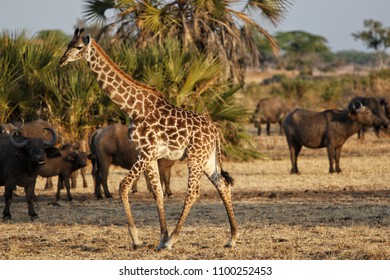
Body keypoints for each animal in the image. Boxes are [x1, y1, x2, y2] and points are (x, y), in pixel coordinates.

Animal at [59, 28, 239, 250]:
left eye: (78, 47)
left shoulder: (145, 151)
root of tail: (215, 132)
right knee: (222, 185)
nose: (61, 60)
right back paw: (232, 238)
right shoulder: (150, 155)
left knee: (193, 192)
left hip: (195, 157)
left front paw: (138, 239)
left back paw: (173, 240)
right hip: (208, 158)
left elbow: (124, 186)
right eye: (68, 44)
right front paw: (161, 237)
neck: (133, 108)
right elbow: (157, 192)